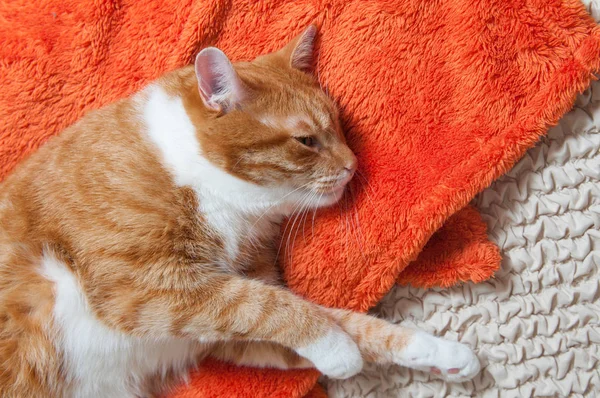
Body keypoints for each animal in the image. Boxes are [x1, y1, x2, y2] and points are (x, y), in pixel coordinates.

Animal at [0, 25, 480, 398]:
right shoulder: (142, 286)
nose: (353, 165)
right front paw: (337, 350)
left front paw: (439, 352)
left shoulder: (207, 333)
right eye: (307, 141)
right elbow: (271, 307)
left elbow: (338, 320)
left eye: (340, 127)